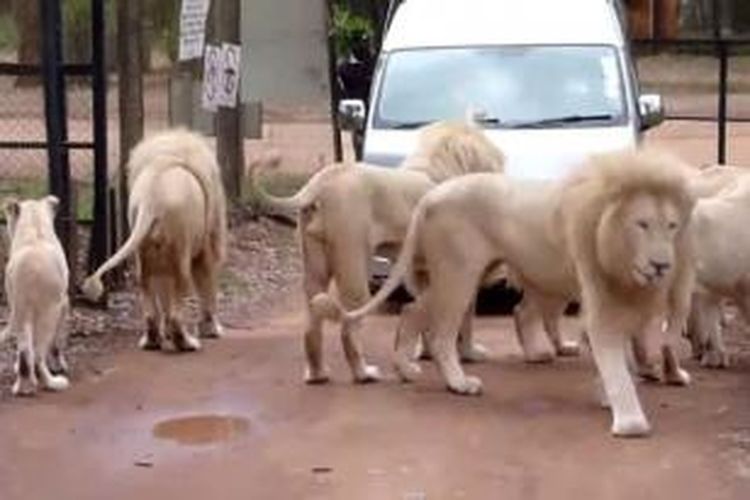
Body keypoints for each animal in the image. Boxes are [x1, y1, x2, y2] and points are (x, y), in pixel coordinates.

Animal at [1, 195, 70, 394]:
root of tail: (29, 266)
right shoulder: (63, 304)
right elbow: (57, 342)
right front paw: (60, 365)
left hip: (21, 311)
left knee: (24, 351)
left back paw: (22, 386)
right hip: (48, 312)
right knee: (38, 354)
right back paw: (52, 382)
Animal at [82, 130, 228, 356]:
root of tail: (151, 198)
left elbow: (164, 291)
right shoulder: (206, 243)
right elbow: (207, 282)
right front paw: (212, 329)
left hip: (143, 245)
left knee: (147, 289)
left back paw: (152, 340)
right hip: (180, 247)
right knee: (178, 301)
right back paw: (186, 342)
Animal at [251, 120, 506, 382]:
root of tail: (320, 183)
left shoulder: (421, 270)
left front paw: (425, 353)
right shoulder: (461, 266)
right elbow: (466, 315)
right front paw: (469, 353)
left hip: (314, 269)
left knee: (312, 324)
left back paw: (317, 374)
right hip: (354, 265)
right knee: (348, 327)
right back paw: (364, 373)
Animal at [324, 149, 700, 438]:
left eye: (671, 226)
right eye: (642, 224)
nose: (662, 265)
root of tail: (431, 196)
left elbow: (623, 351)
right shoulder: (602, 301)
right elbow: (613, 360)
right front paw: (629, 418)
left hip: (461, 274)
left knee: (413, 310)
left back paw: (405, 369)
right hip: (459, 274)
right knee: (442, 334)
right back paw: (459, 383)